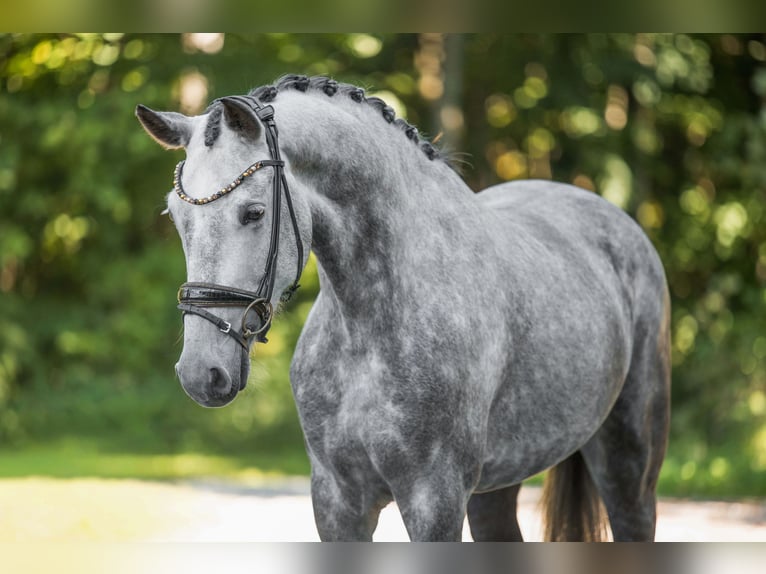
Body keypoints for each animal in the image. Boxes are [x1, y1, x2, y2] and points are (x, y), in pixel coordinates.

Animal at [136, 75, 671, 542]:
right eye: (176, 217)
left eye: (253, 212)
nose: (201, 373)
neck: (367, 328)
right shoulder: (337, 501)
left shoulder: (434, 499)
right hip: (496, 486)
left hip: (627, 466)